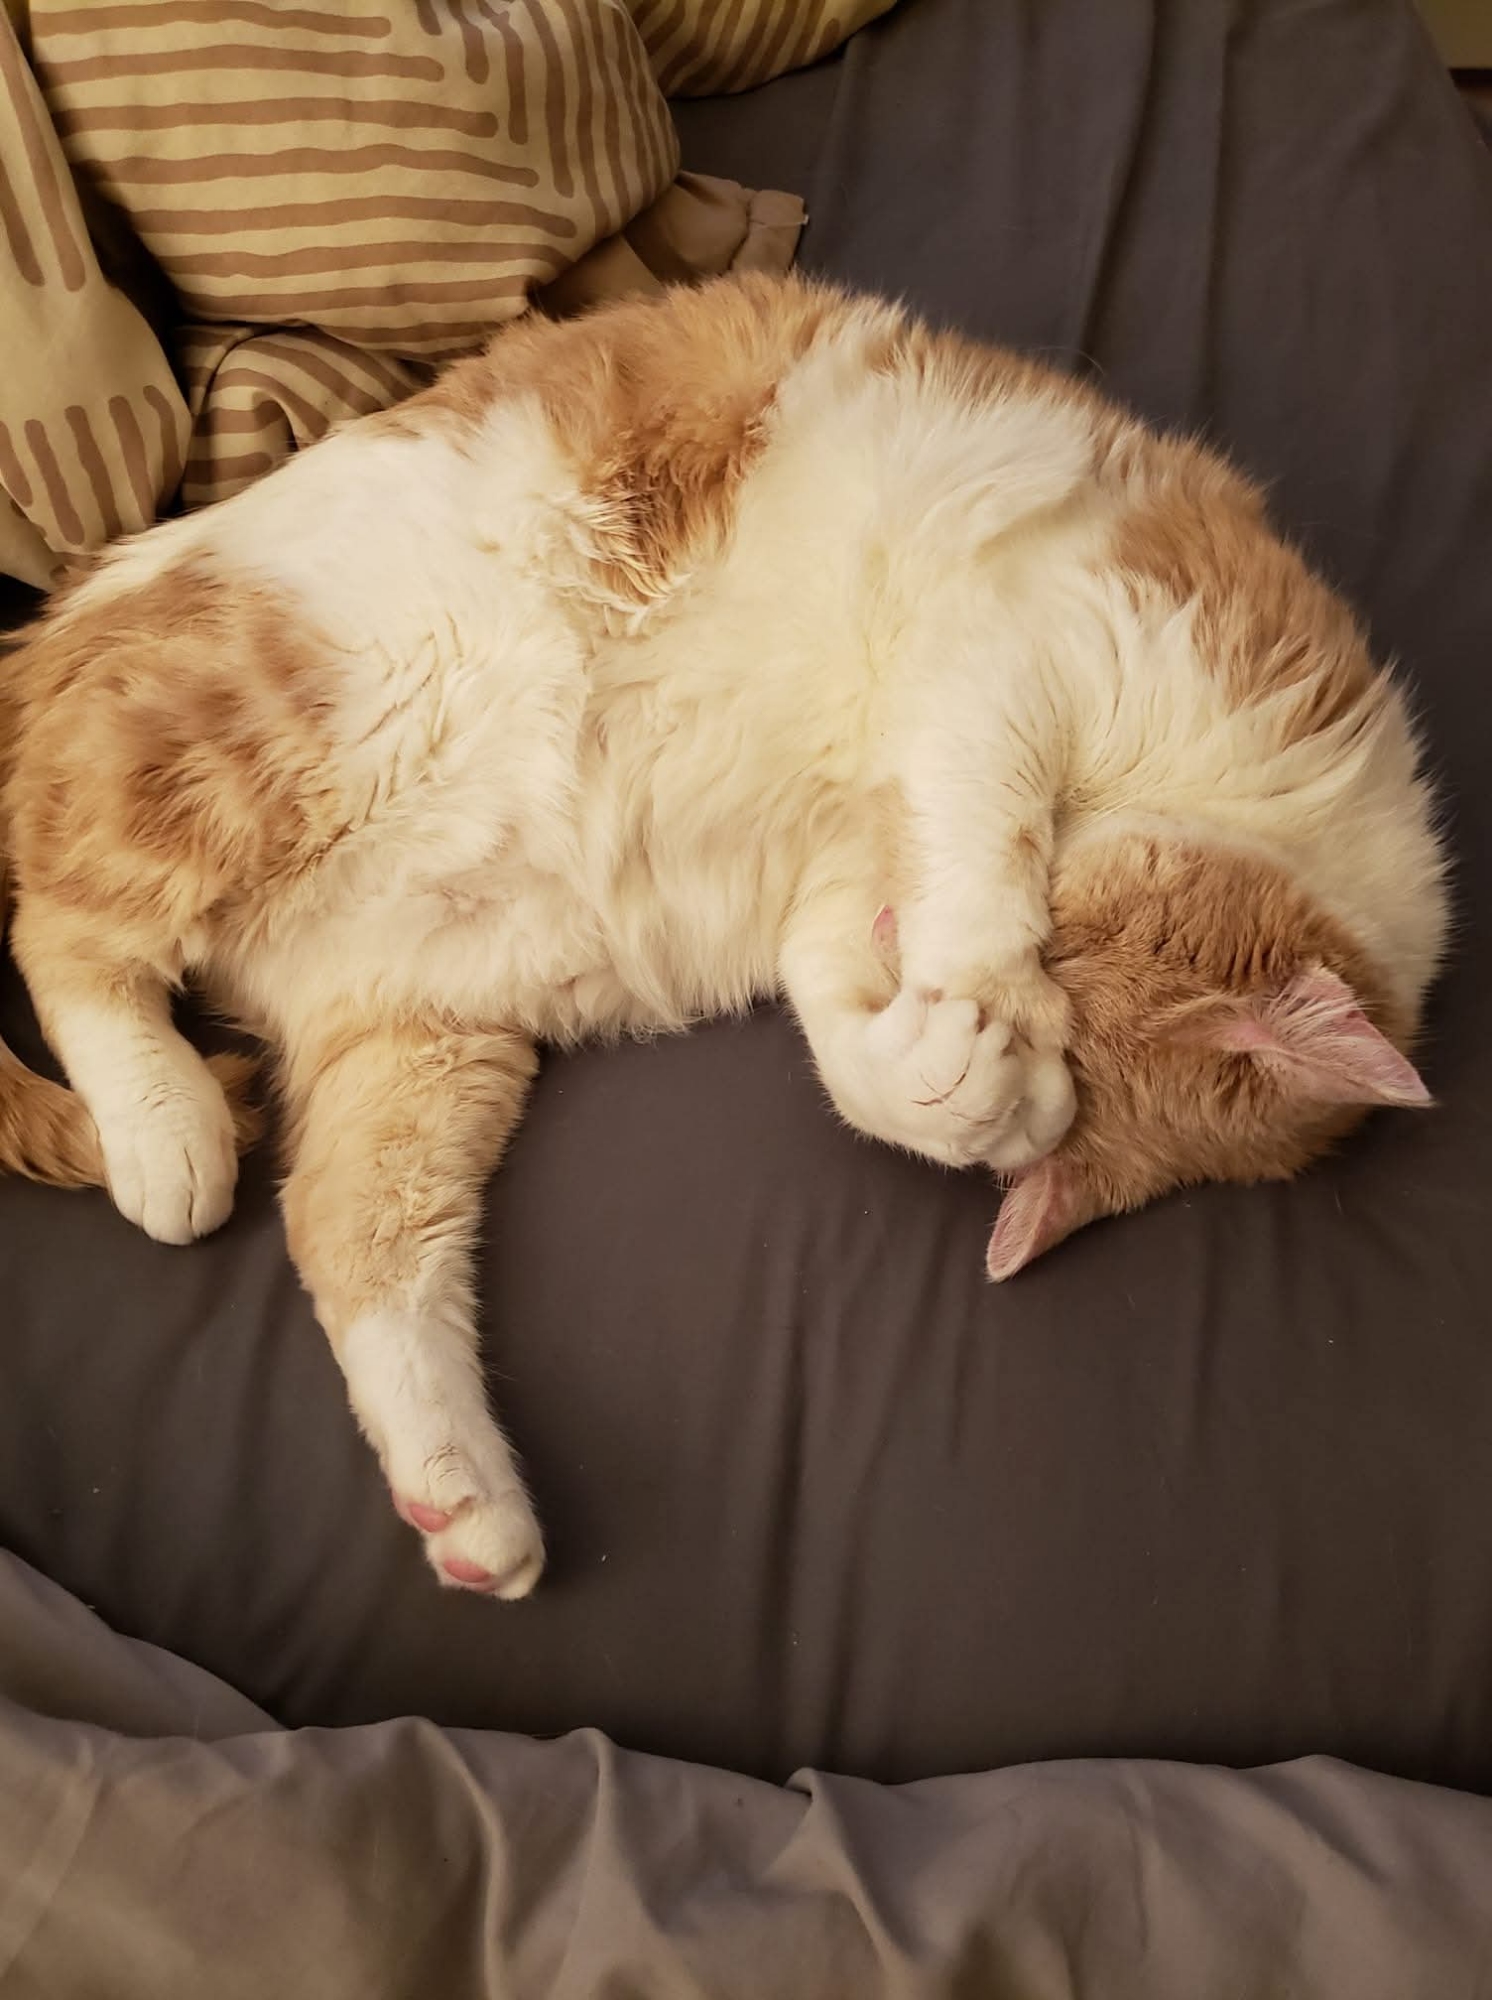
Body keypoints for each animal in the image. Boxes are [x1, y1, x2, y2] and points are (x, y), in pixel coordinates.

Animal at [0, 272, 1447, 1599]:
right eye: (1069, 956)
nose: (917, 945)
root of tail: (62, 607)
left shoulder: (833, 890)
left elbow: (851, 1047)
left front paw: (948, 1080)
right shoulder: (1026, 654)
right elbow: (988, 844)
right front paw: (991, 1018)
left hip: (423, 1033)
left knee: (348, 1231)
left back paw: (465, 1505)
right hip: (258, 729)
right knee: (60, 922)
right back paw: (164, 1132)